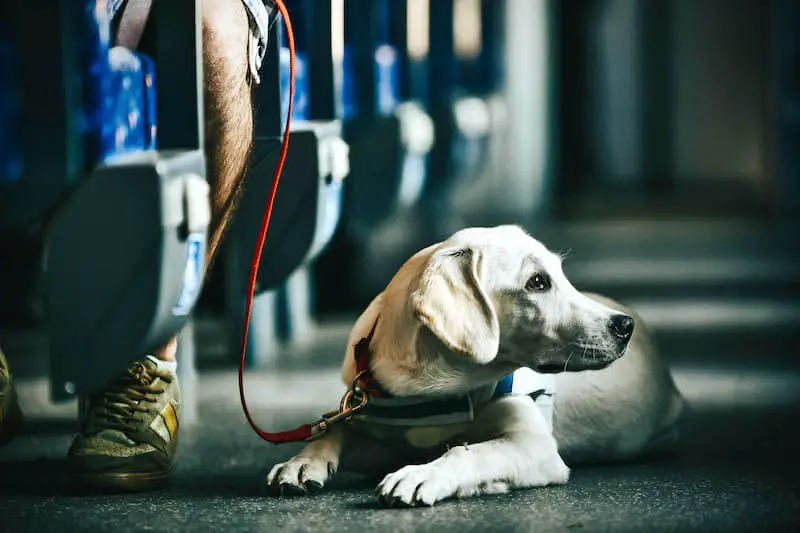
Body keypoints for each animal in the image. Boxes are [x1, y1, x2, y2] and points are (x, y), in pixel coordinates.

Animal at [266, 222, 684, 504]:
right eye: (537, 282)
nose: (624, 327)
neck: (437, 386)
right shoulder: (383, 436)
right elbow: (335, 428)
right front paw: (302, 461)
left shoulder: (535, 445)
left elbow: (470, 451)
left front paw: (424, 474)